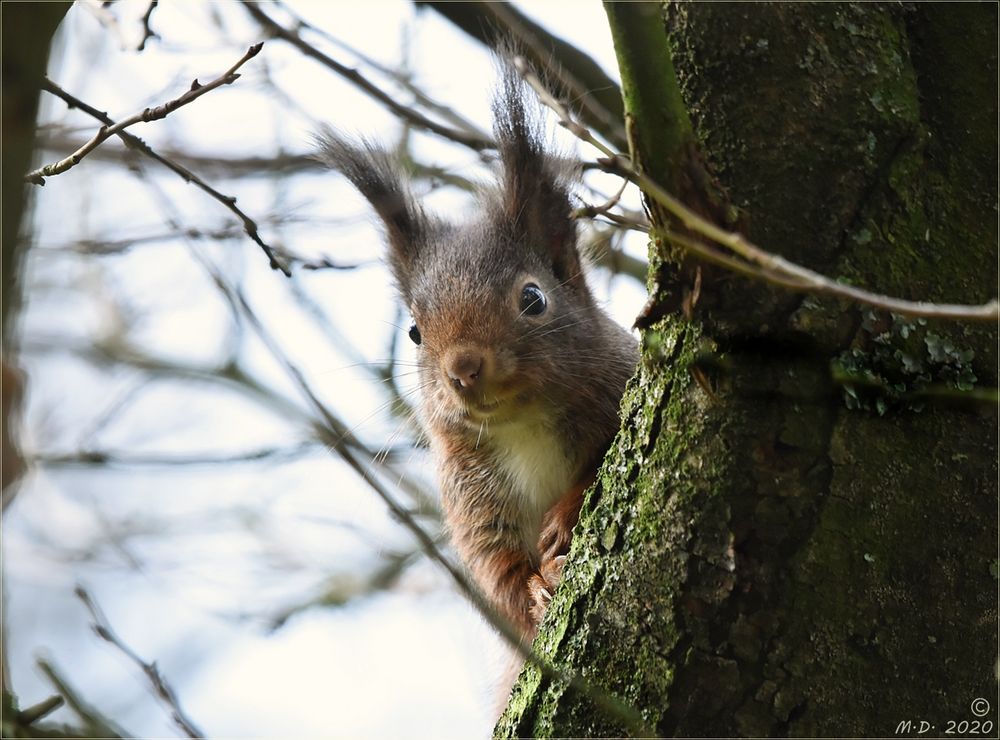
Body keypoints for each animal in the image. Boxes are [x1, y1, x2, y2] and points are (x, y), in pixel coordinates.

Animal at [316, 66, 636, 640]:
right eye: (415, 332)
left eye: (533, 299)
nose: (462, 369)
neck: (524, 426)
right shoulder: (472, 497)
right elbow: (498, 574)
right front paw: (535, 589)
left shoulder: (621, 388)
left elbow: (597, 467)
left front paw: (563, 519)